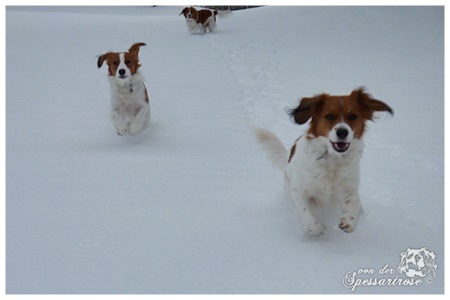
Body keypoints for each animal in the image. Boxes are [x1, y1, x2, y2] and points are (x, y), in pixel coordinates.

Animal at [255, 88, 392, 236]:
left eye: (352, 116)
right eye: (330, 116)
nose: (342, 132)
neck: (332, 160)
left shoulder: (349, 187)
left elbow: (355, 203)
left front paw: (348, 221)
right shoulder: (299, 191)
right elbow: (308, 218)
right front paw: (318, 229)